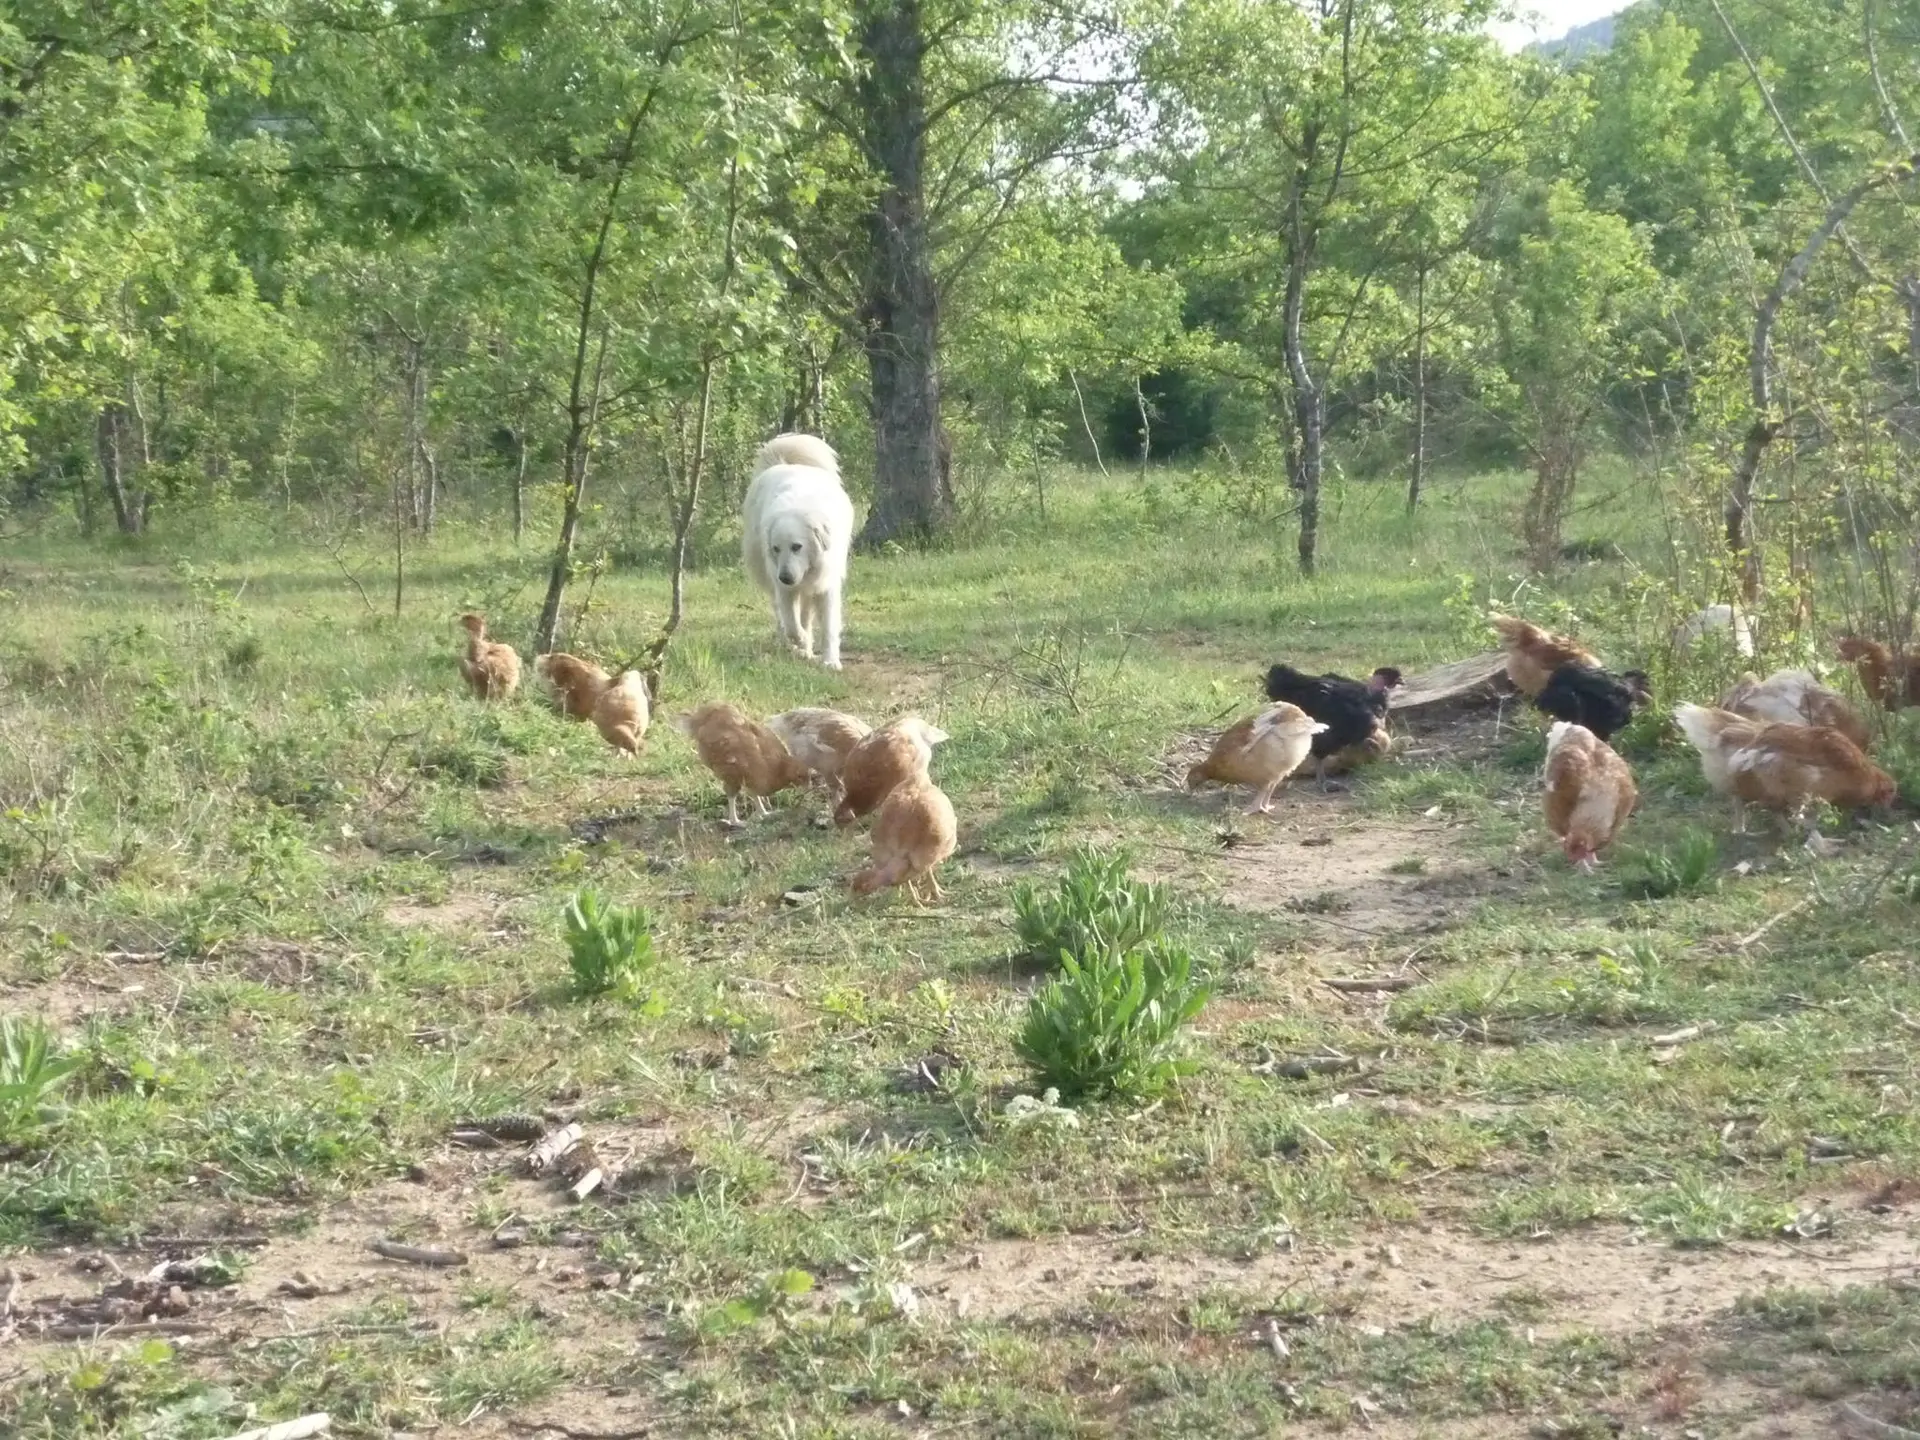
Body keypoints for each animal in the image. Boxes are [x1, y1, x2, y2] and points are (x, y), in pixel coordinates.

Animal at [737, 432, 852, 675]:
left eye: (797, 546)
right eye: (776, 548)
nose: (786, 577)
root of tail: (781, 462)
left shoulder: (826, 585)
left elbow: (828, 627)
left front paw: (830, 661)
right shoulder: (784, 588)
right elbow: (791, 622)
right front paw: (799, 641)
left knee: (805, 614)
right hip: (768, 575)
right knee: (782, 615)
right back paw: (797, 645)